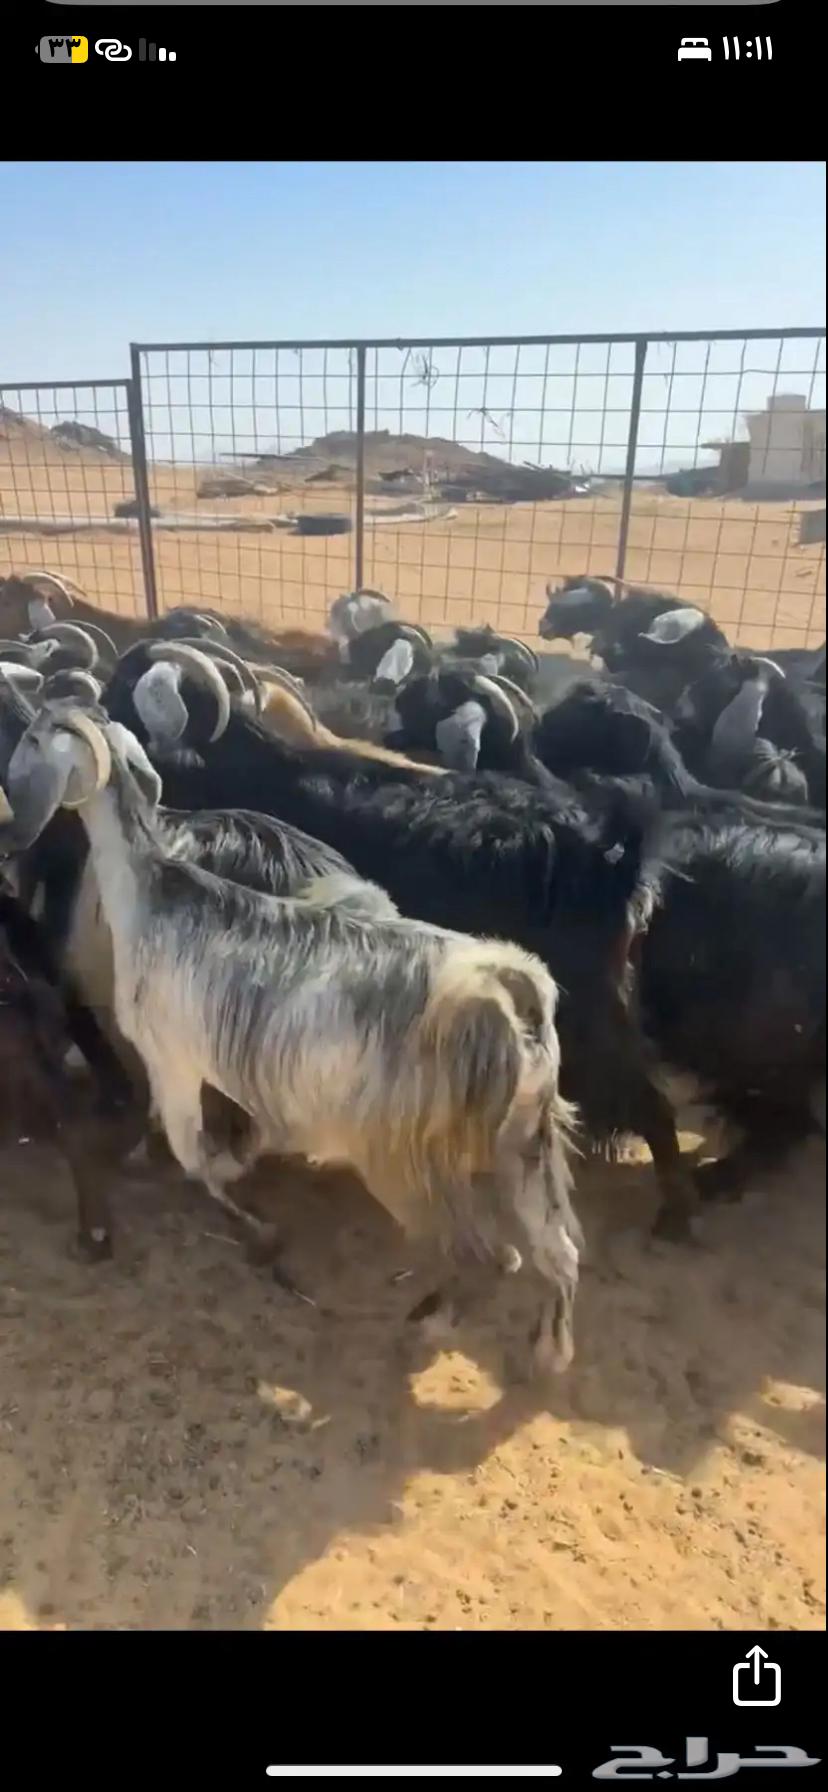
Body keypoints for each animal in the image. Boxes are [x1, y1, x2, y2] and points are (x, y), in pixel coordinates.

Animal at [2, 704, 583, 1379]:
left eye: (34, 737)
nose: (14, 824)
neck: (153, 893)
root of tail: (514, 997)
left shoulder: (174, 1058)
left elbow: (193, 1155)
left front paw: (254, 1225)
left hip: (416, 1156)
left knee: (489, 1253)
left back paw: (434, 1319)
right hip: (525, 1143)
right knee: (554, 1250)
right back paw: (548, 1348)